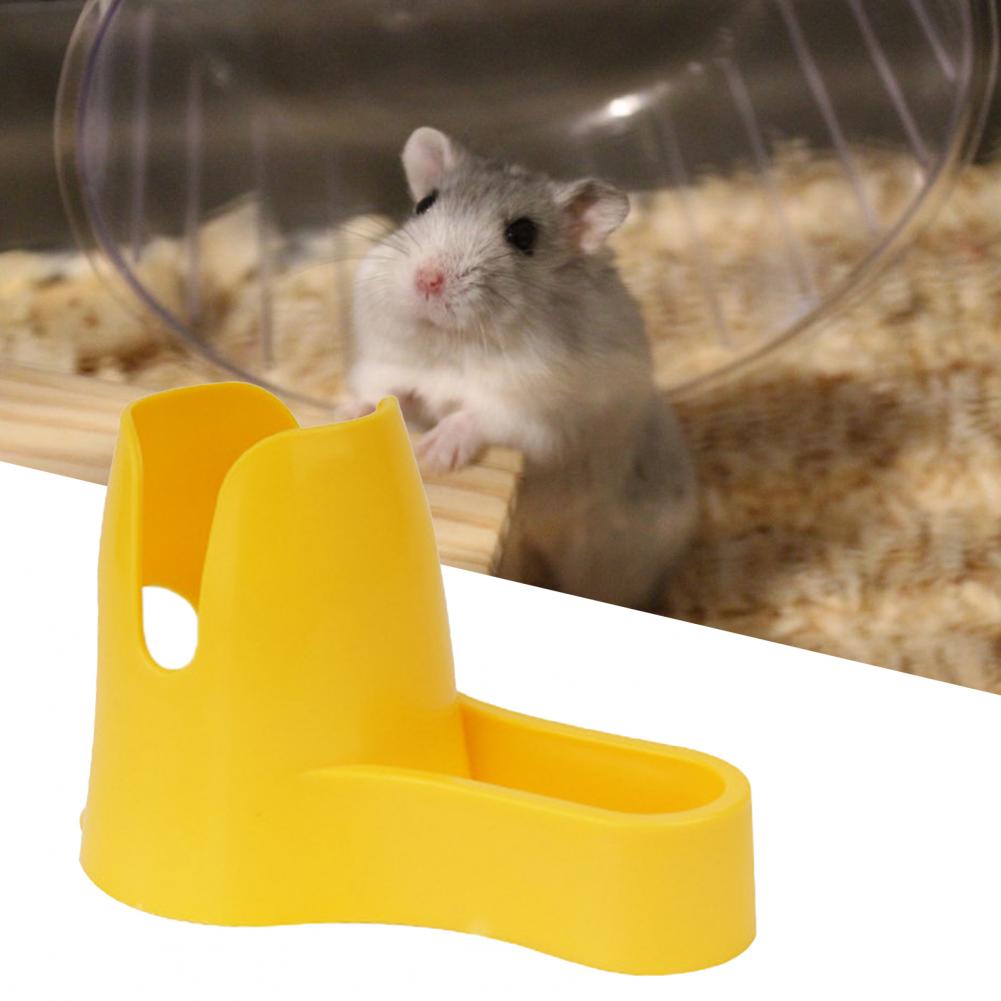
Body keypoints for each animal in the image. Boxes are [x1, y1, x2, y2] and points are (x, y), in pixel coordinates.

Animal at [346, 126, 697, 609]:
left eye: (523, 234)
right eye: (423, 205)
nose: (428, 280)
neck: (455, 342)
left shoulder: (539, 416)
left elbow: (480, 416)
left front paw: (435, 455)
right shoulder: (390, 365)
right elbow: (387, 393)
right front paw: (352, 413)